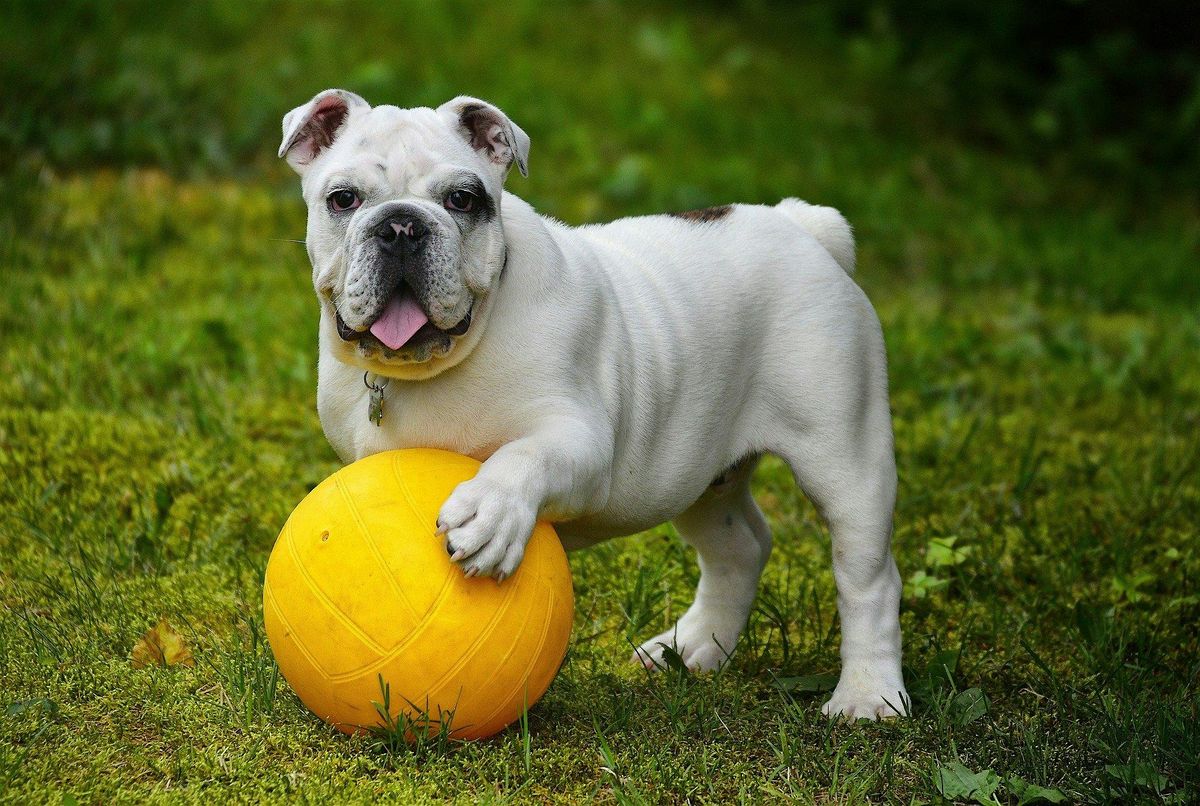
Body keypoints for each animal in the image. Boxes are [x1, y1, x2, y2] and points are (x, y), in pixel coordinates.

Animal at [276, 88, 902, 719]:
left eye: (461, 199)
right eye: (343, 199)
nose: (401, 225)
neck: (433, 367)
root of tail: (800, 225)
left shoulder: (580, 443)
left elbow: (523, 457)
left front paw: (490, 514)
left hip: (843, 457)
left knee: (868, 578)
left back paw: (868, 695)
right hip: (698, 473)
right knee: (739, 549)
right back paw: (692, 648)